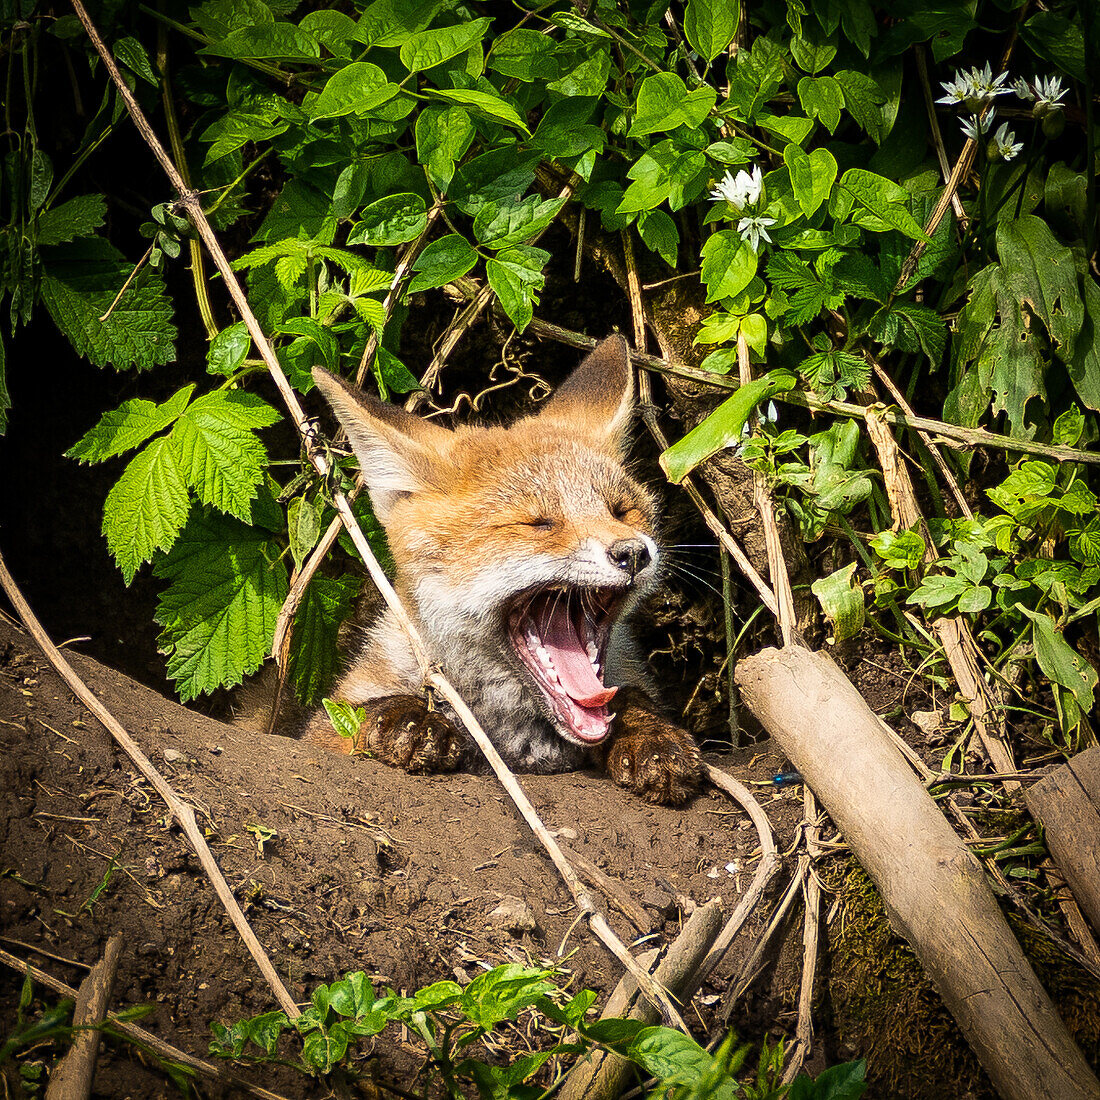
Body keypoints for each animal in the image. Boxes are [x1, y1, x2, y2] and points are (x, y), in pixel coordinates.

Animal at [303, 334, 695, 809]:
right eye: (538, 523)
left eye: (622, 511)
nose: (634, 553)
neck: (515, 740)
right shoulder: (322, 726)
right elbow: (351, 715)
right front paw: (405, 718)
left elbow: (632, 700)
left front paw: (650, 736)